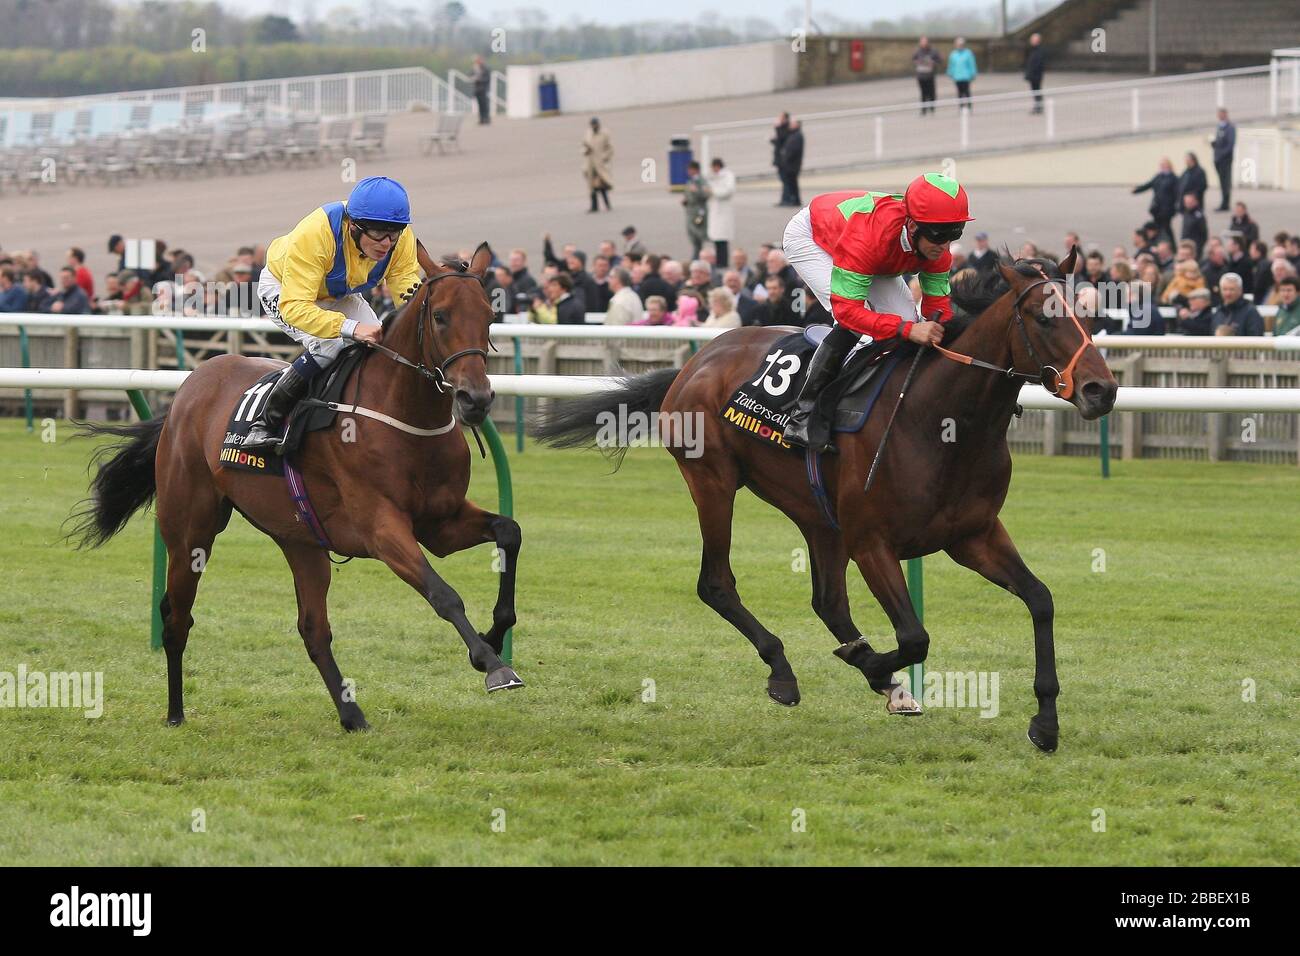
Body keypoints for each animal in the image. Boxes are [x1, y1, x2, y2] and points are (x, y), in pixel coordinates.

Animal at [72, 240, 522, 733]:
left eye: (490, 315)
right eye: (440, 316)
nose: (475, 400)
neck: (405, 419)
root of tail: (187, 390)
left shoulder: (440, 522)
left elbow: (509, 532)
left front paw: (494, 634)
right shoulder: (382, 529)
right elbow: (444, 594)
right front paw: (492, 663)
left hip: (300, 539)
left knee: (312, 629)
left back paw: (351, 714)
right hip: (190, 529)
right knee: (177, 615)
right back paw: (175, 713)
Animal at [538, 252, 1118, 754]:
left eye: (1090, 315)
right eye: (1043, 321)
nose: (1101, 390)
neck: (942, 420)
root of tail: (697, 360)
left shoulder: (973, 535)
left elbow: (1040, 599)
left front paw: (1045, 722)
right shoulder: (872, 541)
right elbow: (914, 637)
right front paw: (879, 667)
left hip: (819, 516)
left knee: (828, 601)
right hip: (713, 481)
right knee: (716, 583)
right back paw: (786, 672)